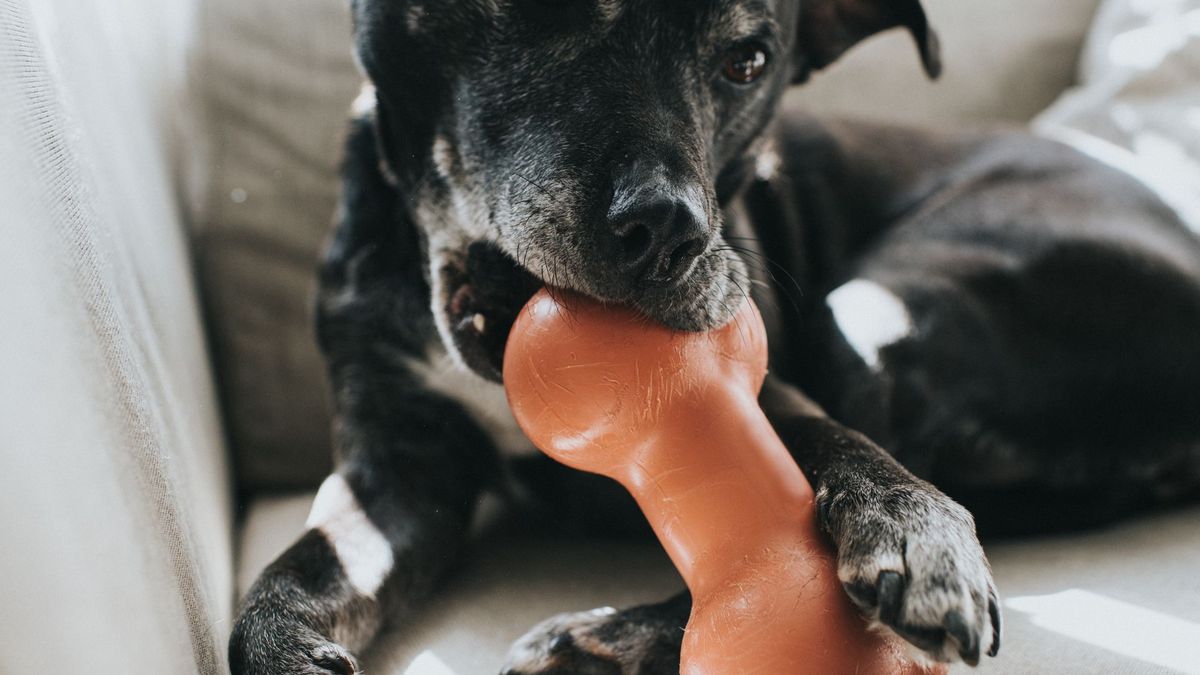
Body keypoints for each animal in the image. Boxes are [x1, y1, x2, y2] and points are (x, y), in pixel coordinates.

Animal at [226, 2, 1200, 667]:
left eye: (748, 59)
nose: (670, 231)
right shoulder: (396, 470)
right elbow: (298, 573)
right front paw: (281, 645)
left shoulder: (757, 386)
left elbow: (831, 450)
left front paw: (914, 525)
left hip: (878, 301)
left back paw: (606, 636)